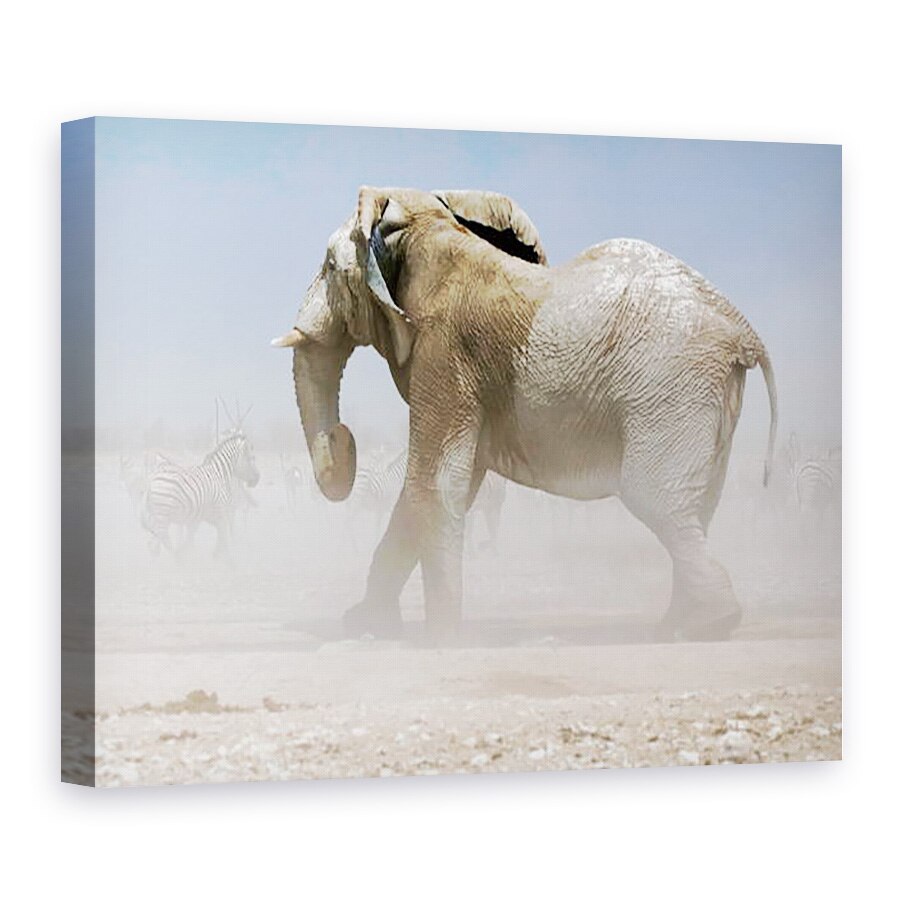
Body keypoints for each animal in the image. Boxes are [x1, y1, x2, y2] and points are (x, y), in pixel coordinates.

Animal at [273, 187, 778, 643]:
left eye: (329, 267)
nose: (345, 438)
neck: (425, 223)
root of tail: (743, 330)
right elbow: (448, 486)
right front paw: (366, 626)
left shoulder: (444, 351)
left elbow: (435, 483)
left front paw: (440, 640)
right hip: (703, 394)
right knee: (698, 506)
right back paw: (680, 626)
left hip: (668, 385)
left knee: (653, 498)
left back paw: (707, 625)